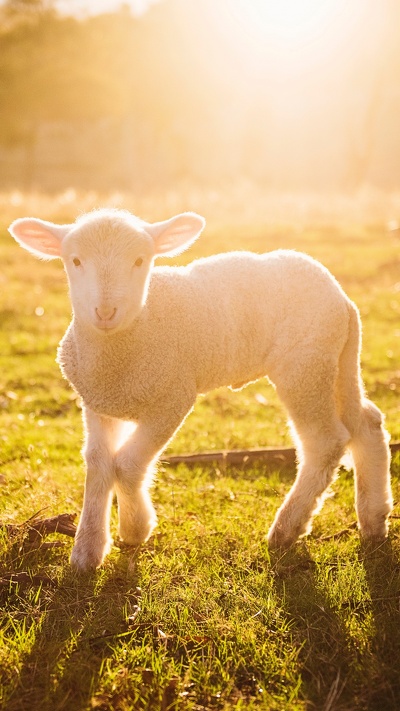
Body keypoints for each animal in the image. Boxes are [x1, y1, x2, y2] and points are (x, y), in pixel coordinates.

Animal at [7, 209, 392, 572]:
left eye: (139, 260)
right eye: (74, 260)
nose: (105, 311)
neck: (125, 342)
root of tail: (342, 297)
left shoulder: (173, 398)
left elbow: (127, 464)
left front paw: (135, 528)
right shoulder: (98, 402)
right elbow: (98, 463)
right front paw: (87, 550)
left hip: (305, 366)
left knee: (324, 442)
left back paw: (287, 529)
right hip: (338, 360)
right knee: (367, 423)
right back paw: (374, 520)